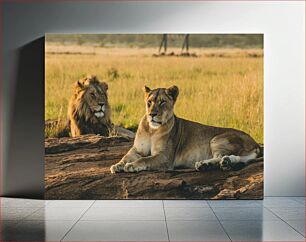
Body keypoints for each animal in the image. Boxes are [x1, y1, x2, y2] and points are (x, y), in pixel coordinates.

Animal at [110, 84, 262, 172]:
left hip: (217, 139)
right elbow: (126, 156)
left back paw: (206, 164)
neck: (152, 130)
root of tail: (255, 143)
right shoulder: (137, 149)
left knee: (221, 156)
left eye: (162, 102)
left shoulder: (165, 157)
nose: (152, 114)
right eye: (149, 102)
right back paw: (220, 163)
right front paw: (118, 165)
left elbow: (145, 159)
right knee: (236, 158)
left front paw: (131, 166)